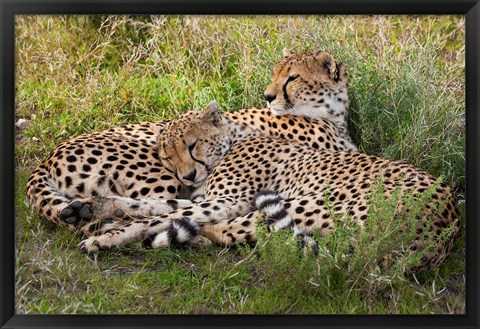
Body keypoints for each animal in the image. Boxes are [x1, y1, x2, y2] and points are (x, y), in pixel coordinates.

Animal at [26, 48, 356, 233]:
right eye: (275, 74)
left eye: (293, 77)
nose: (268, 96)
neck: (330, 112)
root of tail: (49, 156)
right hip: (158, 176)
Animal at [79, 102, 462, 270]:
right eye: (167, 156)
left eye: (192, 145)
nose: (186, 177)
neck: (234, 139)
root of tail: (446, 224)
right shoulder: (212, 197)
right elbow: (160, 206)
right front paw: (96, 207)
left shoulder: (229, 200)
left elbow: (161, 214)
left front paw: (105, 235)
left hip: (302, 204)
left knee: (233, 231)